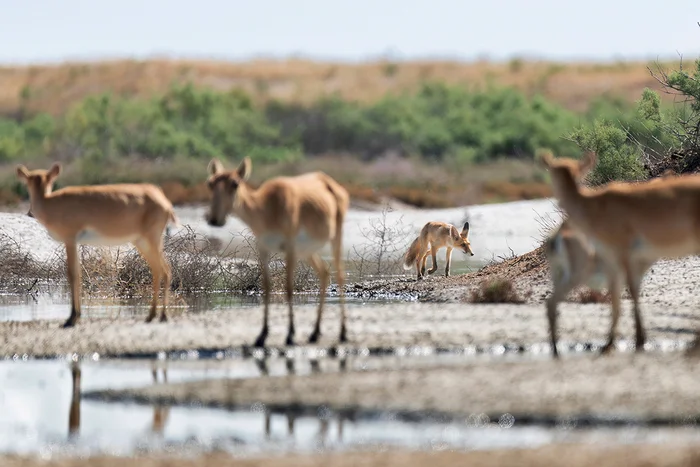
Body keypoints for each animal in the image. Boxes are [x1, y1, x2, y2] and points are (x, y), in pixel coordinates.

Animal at [16, 163, 178, 328]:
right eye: (29, 180)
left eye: (48, 180)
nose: (29, 212)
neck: (50, 203)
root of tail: (164, 202)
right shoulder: (74, 243)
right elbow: (78, 273)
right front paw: (75, 316)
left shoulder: (70, 240)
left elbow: (72, 273)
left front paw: (72, 318)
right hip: (141, 242)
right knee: (158, 270)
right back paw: (151, 316)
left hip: (151, 239)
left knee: (165, 270)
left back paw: (163, 315)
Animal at [206, 157, 350, 348]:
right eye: (210, 183)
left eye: (235, 183)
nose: (215, 220)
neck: (268, 208)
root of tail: (334, 186)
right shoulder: (264, 250)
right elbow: (267, 287)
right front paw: (261, 336)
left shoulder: (290, 249)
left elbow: (288, 288)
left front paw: (290, 335)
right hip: (307, 251)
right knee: (324, 272)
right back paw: (314, 333)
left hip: (336, 237)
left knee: (339, 275)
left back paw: (343, 333)